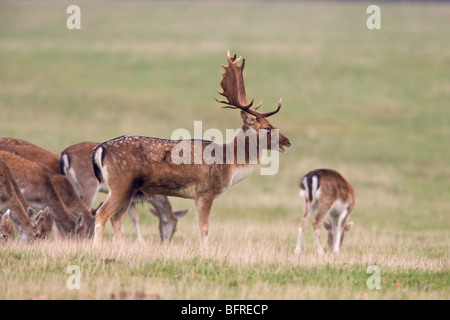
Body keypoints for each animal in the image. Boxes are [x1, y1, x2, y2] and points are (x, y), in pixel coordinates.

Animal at [59, 141, 189, 241]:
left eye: (176, 228)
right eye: (166, 222)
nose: (166, 242)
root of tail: (65, 154)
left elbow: (131, 217)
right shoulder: (131, 195)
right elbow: (130, 217)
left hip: (73, 185)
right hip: (89, 184)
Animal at [93, 51, 292, 249]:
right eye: (267, 128)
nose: (288, 141)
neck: (230, 163)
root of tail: (101, 148)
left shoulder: (197, 196)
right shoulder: (206, 191)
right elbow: (204, 227)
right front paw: (205, 252)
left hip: (129, 189)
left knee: (117, 219)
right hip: (121, 184)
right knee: (101, 214)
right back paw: (97, 248)